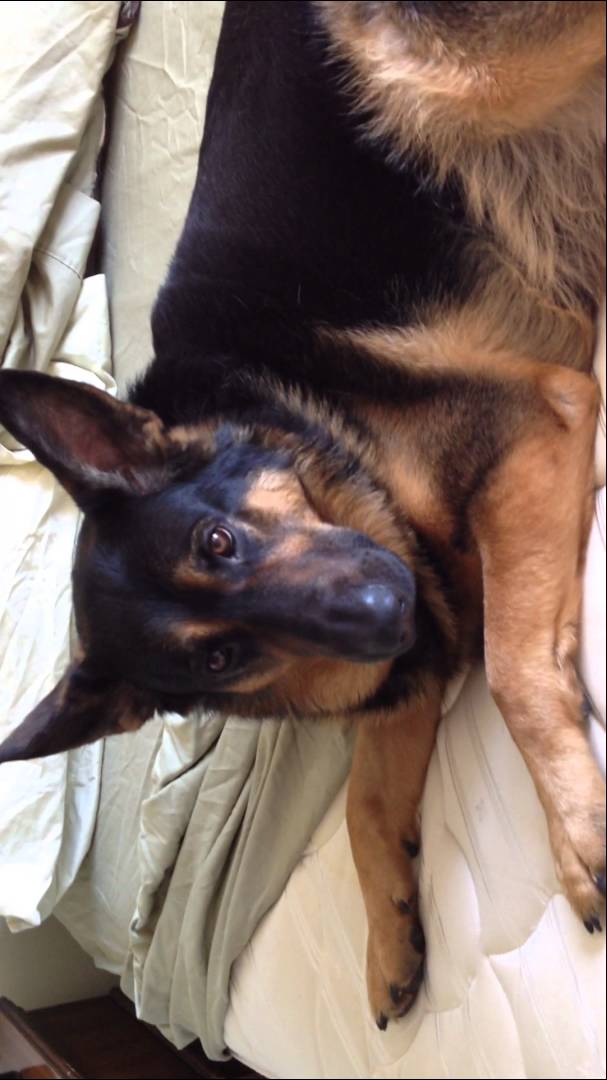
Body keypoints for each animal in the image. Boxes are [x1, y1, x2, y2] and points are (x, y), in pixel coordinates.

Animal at [1, 0, 604, 1028]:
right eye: (218, 660)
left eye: (218, 540)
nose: (383, 614)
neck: (288, 412)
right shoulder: (417, 656)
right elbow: (367, 800)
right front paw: (388, 936)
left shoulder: (535, 424)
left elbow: (515, 674)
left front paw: (581, 834)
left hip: (428, 74)